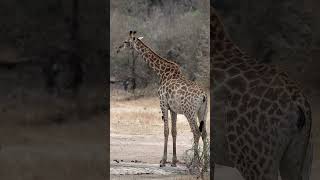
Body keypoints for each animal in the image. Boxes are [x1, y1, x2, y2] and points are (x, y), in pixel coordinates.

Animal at [116, 30, 209, 172]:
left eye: (126, 41)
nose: (118, 49)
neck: (162, 73)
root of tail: (203, 95)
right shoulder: (173, 109)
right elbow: (174, 131)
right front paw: (173, 162)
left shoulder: (162, 103)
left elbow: (165, 130)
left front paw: (163, 161)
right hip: (202, 111)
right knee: (204, 133)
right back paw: (204, 166)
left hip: (189, 112)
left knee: (196, 132)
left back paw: (195, 164)